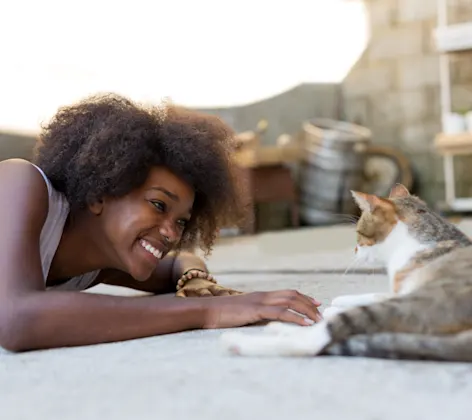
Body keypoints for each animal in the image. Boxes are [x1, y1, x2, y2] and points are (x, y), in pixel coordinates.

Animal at [221, 184, 472, 360]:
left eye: (359, 233)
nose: (354, 249)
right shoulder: (397, 290)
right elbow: (368, 295)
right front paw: (338, 301)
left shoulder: (403, 292)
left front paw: (333, 307)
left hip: (430, 299)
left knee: (320, 338)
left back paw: (245, 341)